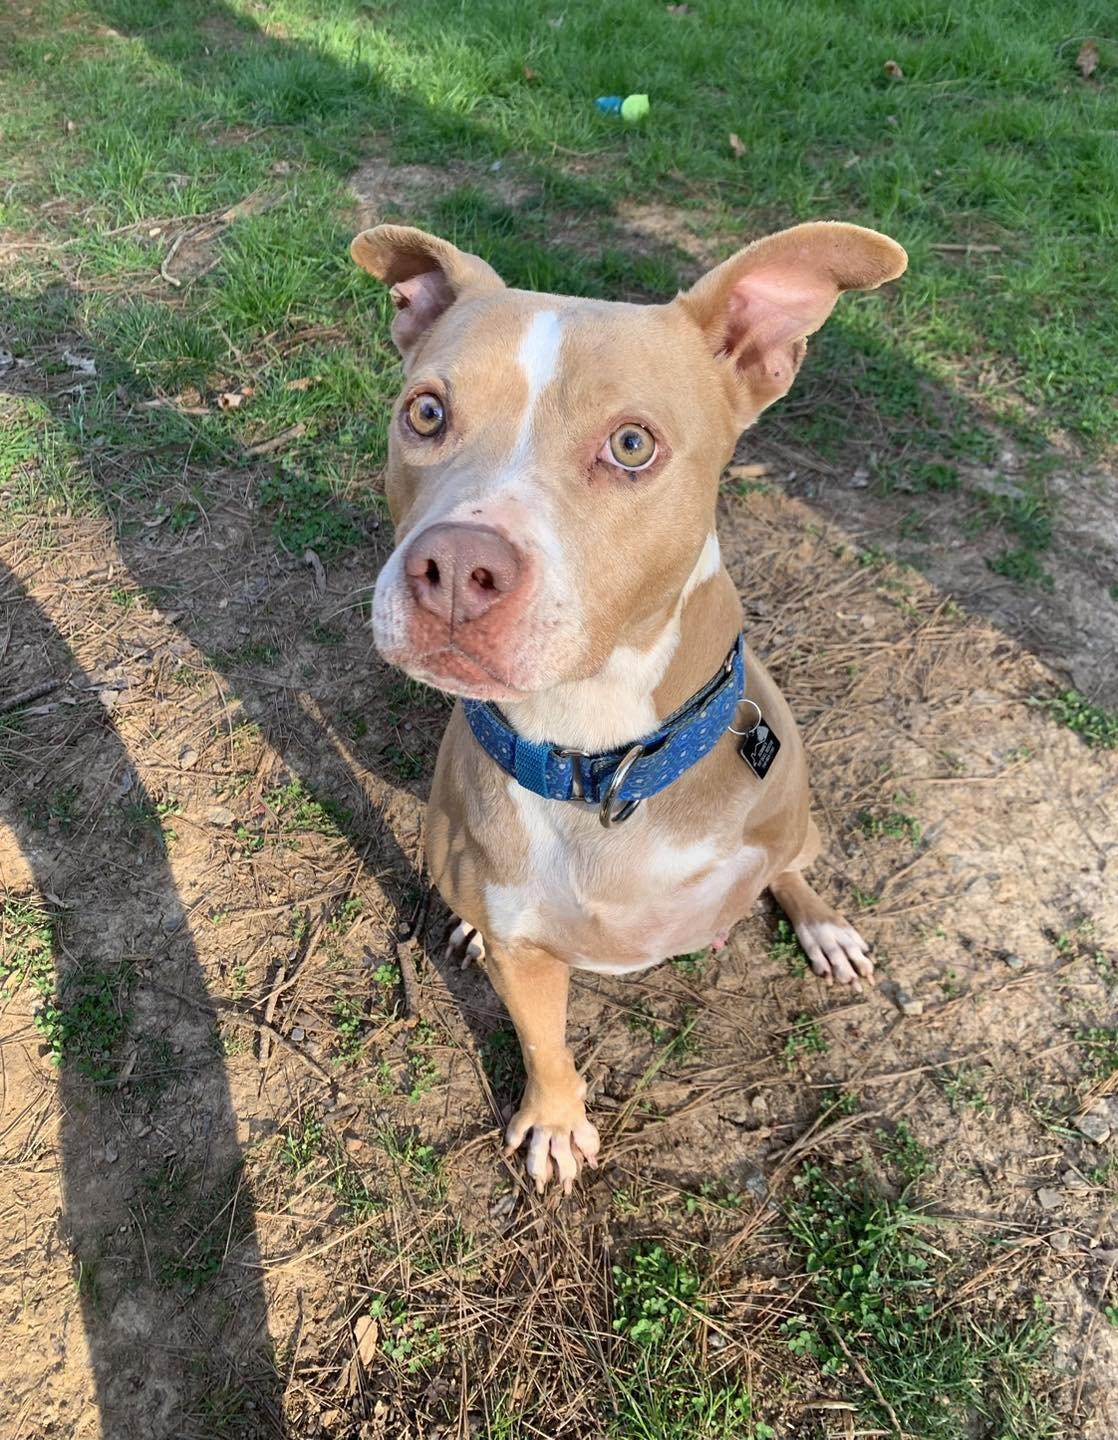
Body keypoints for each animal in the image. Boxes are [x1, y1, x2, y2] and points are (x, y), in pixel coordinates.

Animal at [355, 221, 910, 1192]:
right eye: (425, 414)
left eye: (631, 445)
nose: (455, 570)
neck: (600, 757)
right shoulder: (526, 950)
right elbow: (543, 1041)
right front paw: (554, 1122)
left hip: (798, 819)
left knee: (797, 863)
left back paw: (823, 925)